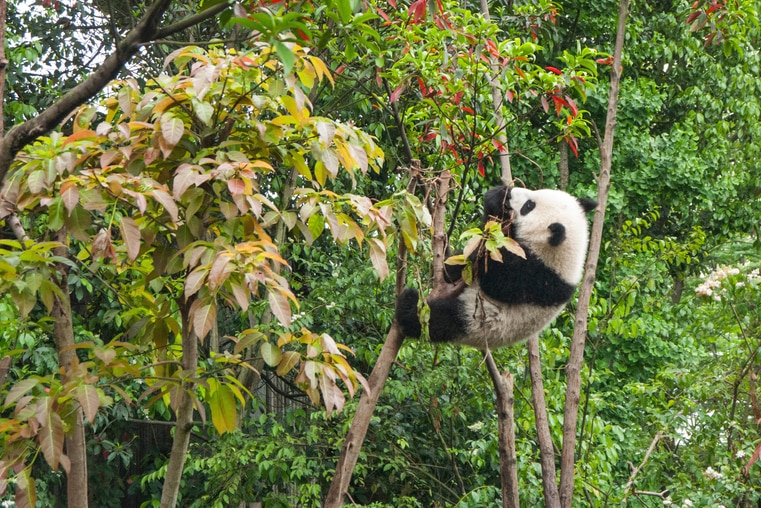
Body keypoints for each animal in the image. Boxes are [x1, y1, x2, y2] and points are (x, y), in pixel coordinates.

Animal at [394, 186, 596, 350]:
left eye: (529, 206)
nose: (512, 192)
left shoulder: (538, 277)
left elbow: (496, 280)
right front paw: (497, 197)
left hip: (474, 320)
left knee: (437, 320)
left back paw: (408, 304)